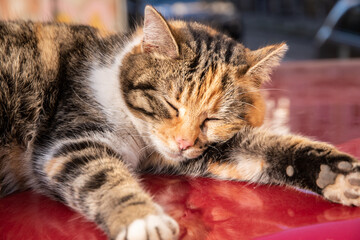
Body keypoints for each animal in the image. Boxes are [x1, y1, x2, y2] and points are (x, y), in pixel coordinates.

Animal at [0, 5, 360, 240]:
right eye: (171, 104)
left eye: (213, 118)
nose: (183, 143)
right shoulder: (69, 139)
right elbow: (103, 177)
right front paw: (143, 221)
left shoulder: (210, 150)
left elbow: (267, 147)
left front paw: (336, 173)